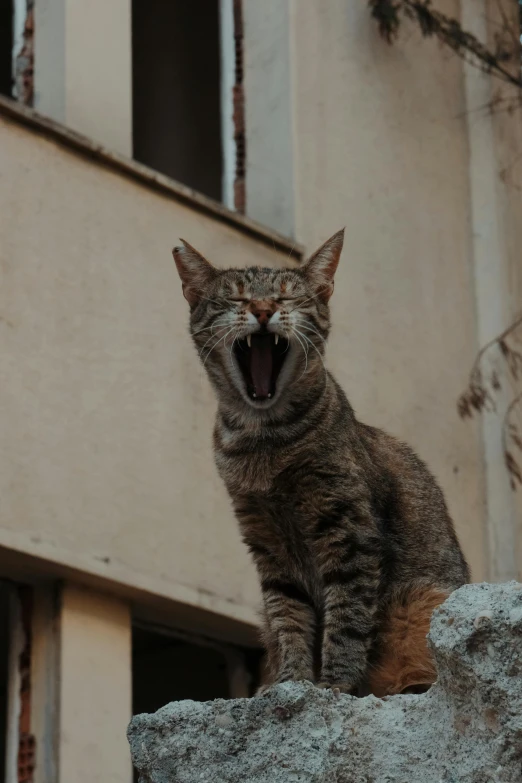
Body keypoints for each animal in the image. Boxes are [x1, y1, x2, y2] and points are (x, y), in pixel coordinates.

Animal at [173, 230, 470, 696]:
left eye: (286, 295)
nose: (262, 309)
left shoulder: (349, 532)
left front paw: (334, 685)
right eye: (237, 297)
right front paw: (291, 684)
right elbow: (289, 619)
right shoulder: (267, 544)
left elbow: (346, 617)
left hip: (422, 600)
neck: (264, 442)